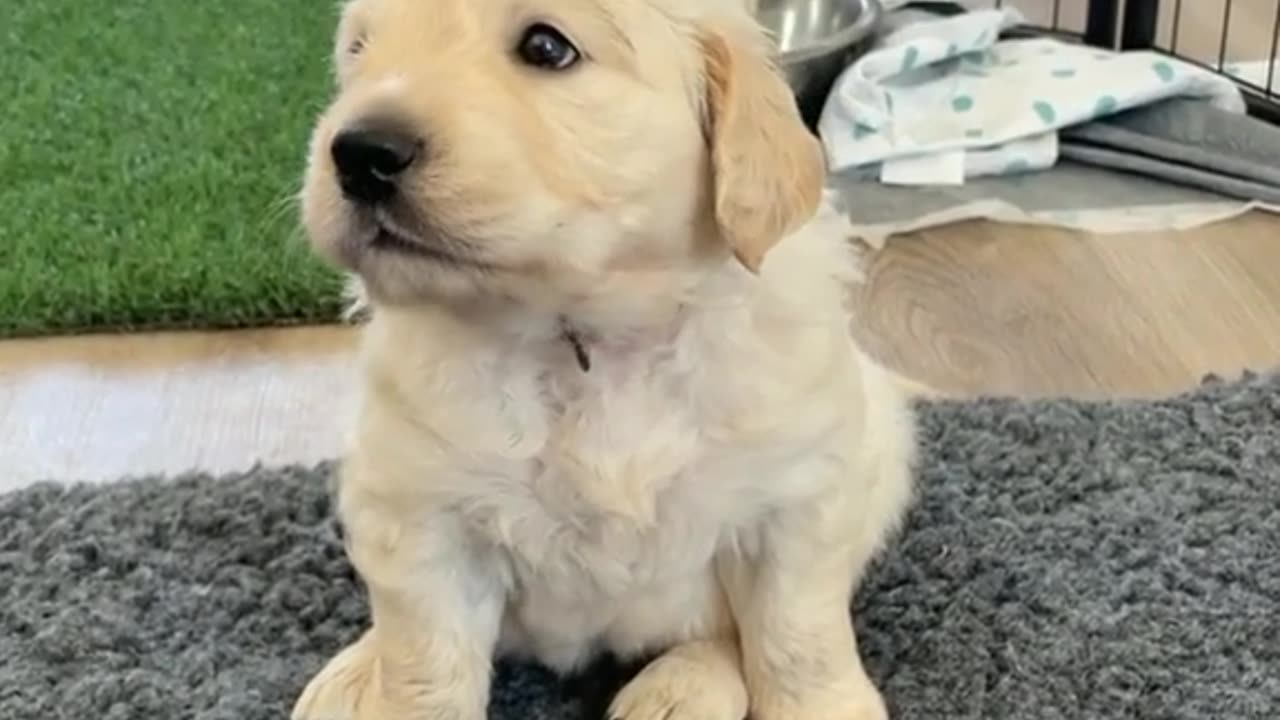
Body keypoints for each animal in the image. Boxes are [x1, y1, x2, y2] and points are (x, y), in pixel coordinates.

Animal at [291, 1, 916, 717]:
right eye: (359, 50)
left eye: (546, 47)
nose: (360, 152)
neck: (586, 337)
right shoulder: (421, 518)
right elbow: (422, 660)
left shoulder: (798, 498)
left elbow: (796, 635)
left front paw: (825, 704)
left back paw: (680, 689)